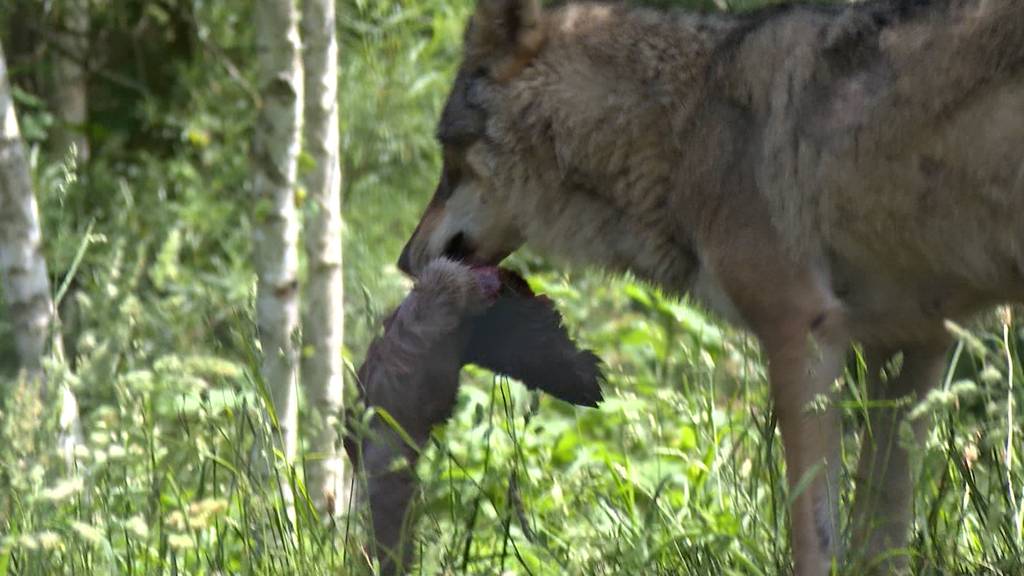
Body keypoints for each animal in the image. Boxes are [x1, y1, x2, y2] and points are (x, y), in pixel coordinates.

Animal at [393, 1, 1024, 569]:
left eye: (447, 155)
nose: (403, 260)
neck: (685, 128)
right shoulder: (913, 348)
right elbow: (882, 537)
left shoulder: (802, 335)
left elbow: (814, 537)